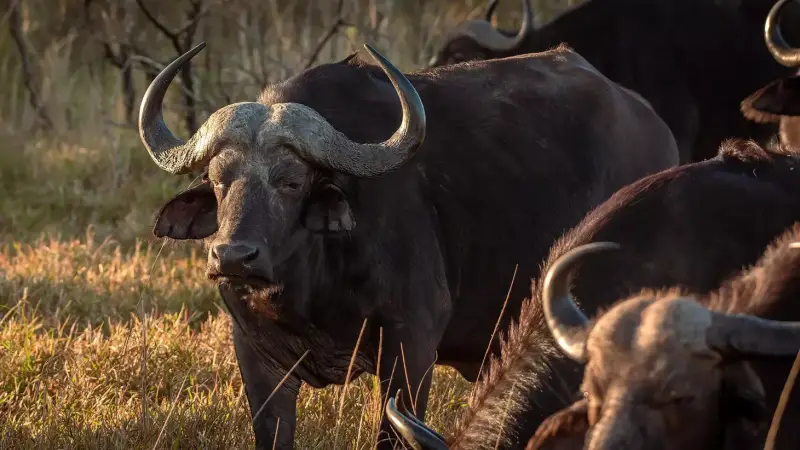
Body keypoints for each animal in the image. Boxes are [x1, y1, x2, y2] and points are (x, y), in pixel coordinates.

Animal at [138, 42, 677, 448]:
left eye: (290, 181)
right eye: (218, 179)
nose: (232, 257)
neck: (308, 285)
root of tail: (656, 128)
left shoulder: (411, 347)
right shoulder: (257, 359)